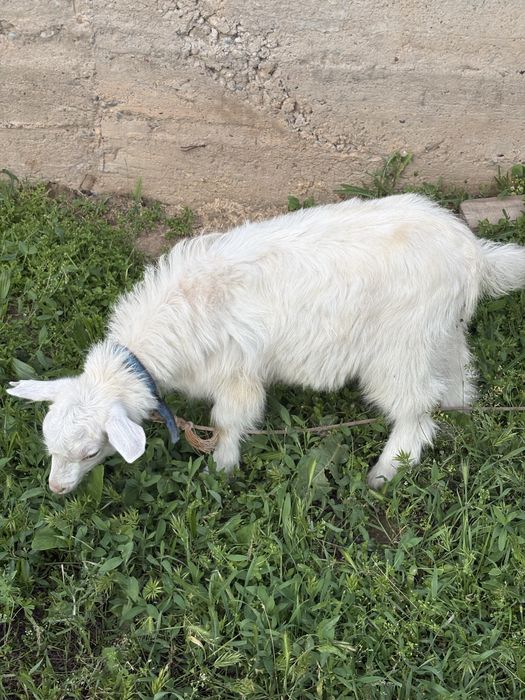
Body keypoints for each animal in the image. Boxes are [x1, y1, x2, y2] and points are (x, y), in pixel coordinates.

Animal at [7, 193, 525, 493]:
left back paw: (384, 473)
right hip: (439, 328)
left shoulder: (237, 373)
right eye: (48, 443)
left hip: (398, 346)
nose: (56, 490)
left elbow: (229, 420)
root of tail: (472, 255)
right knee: (457, 370)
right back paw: (461, 409)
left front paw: (222, 468)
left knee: (415, 411)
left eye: (91, 452)